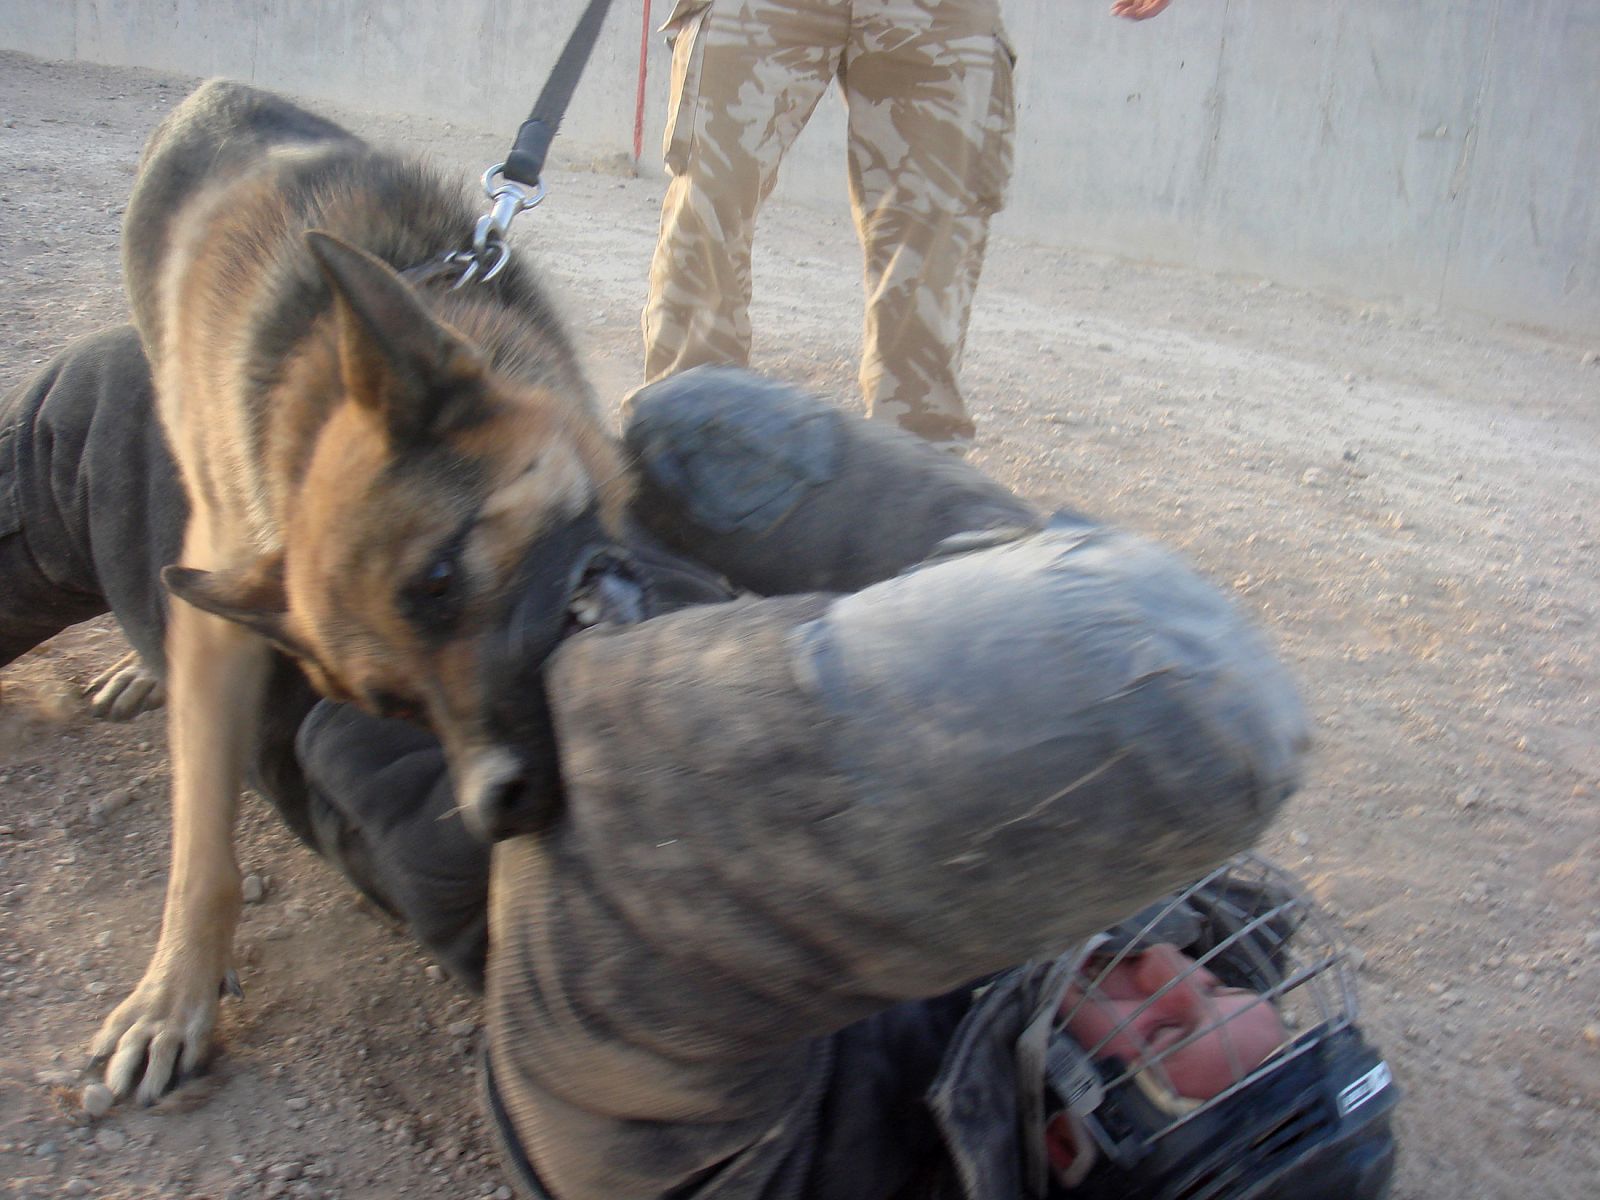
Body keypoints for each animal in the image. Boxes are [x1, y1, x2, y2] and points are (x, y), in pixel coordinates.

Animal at [92, 80, 630, 1107]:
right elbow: (200, 850)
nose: (494, 808)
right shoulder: (219, 630)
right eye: (390, 702)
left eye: (441, 579)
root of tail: (213, 93)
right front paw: (173, 993)